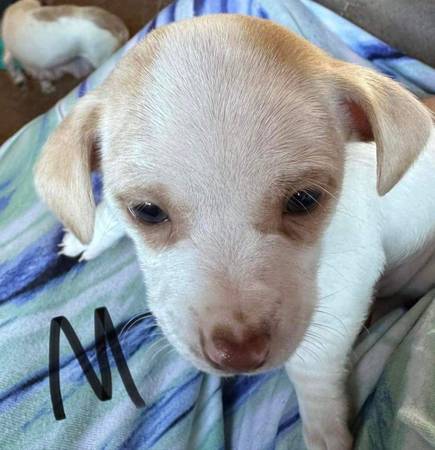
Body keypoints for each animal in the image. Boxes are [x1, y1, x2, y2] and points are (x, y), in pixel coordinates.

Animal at [34, 14, 435, 450]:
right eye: (147, 211)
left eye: (305, 200)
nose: (239, 356)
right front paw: (90, 234)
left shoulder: (346, 281)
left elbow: (312, 365)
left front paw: (323, 427)